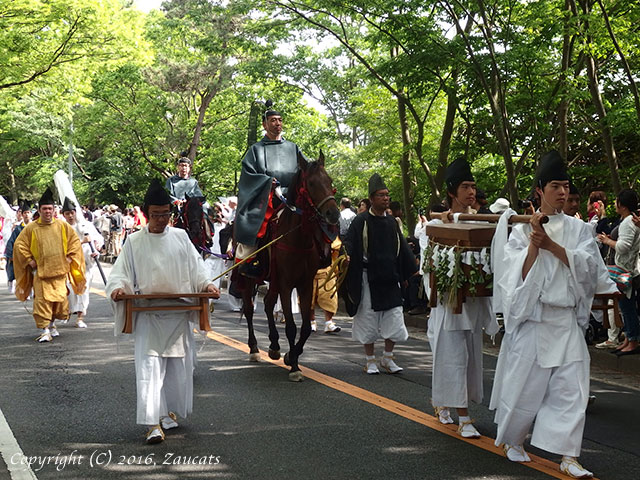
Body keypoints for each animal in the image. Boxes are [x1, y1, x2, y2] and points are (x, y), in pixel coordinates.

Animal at [240, 152, 340, 380]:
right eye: (311, 183)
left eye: (330, 181)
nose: (333, 214)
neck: (298, 239)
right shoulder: (286, 284)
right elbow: (292, 327)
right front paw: (293, 366)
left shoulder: (305, 284)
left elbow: (305, 327)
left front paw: (291, 356)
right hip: (250, 277)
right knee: (249, 309)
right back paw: (254, 349)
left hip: (273, 279)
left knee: (268, 303)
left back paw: (274, 346)